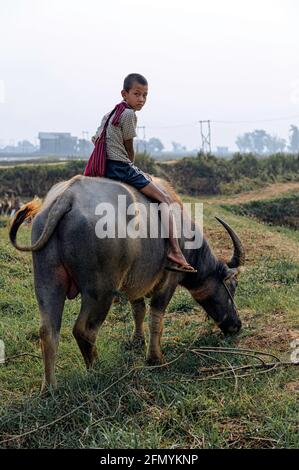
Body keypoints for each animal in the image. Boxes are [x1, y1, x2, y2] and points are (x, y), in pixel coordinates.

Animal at [9, 174, 245, 392]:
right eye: (233, 286)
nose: (236, 325)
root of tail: (68, 197)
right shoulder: (167, 282)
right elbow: (156, 319)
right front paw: (155, 359)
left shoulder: (135, 283)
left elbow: (138, 310)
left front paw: (137, 340)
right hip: (100, 291)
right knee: (84, 330)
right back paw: (98, 370)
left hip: (47, 279)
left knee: (48, 331)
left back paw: (49, 388)